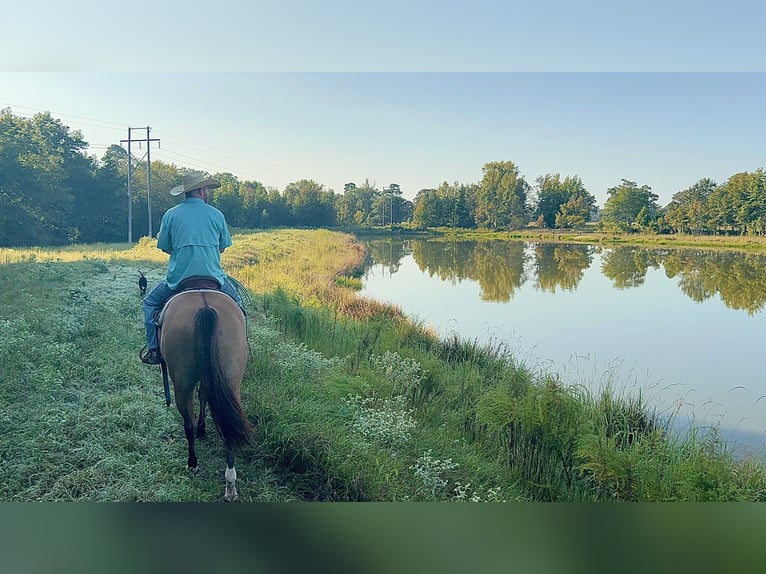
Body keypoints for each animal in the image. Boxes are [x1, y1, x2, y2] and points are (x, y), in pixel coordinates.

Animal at [158, 284, 254, 504]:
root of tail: (205, 307)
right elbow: (204, 395)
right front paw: (203, 427)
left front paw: (200, 429)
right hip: (231, 378)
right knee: (228, 424)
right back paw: (230, 484)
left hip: (182, 383)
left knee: (188, 423)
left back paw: (192, 462)